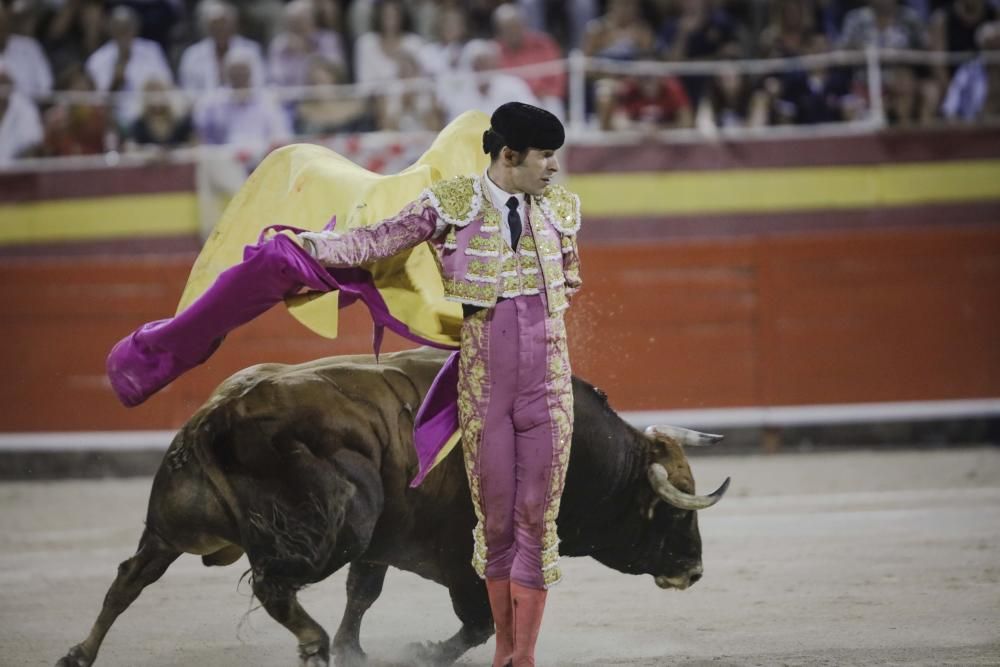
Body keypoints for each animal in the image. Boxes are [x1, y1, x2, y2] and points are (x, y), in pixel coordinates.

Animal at [54, 348, 728, 664]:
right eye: (676, 511)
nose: (694, 571)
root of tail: (217, 412)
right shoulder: (463, 560)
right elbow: (480, 623)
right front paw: (422, 653)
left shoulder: (385, 544)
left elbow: (364, 593)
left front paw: (357, 650)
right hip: (337, 524)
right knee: (273, 586)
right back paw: (313, 646)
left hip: (172, 526)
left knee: (128, 579)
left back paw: (79, 654)